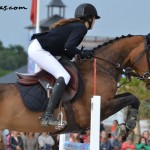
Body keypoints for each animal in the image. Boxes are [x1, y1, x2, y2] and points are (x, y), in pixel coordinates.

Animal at [0, 34, 150, 135]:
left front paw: (127, 123)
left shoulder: (109, 100)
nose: (148, 82)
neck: (101, 68)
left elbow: (131, 96)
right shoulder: (101, 107)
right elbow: (132, 98)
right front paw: (129, 124)